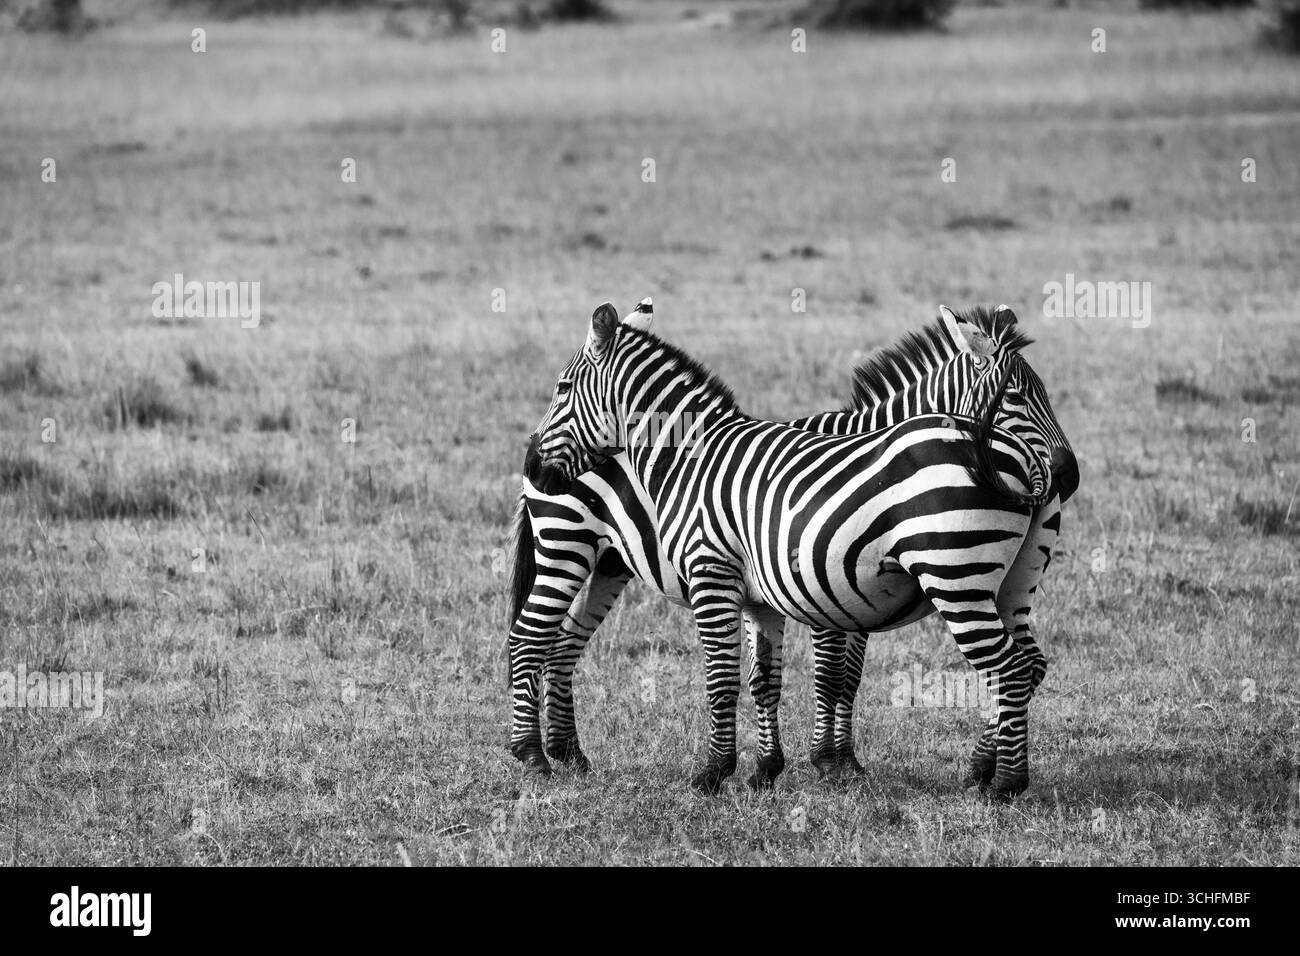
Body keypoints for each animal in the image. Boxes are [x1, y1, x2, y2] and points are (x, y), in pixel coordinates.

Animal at [511, 301, 1076, 795]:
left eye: (562, 387)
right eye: (1017, 398)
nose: (1069, 478)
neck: (693, 457)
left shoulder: (741, 578)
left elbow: (754, 678)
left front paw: (730, 772)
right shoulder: (798, 589)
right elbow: (791, 678)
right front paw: (799, 766)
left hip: (962, 579)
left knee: (1014, 668)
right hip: (577, 546)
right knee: (543, 640)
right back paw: (554, 754)